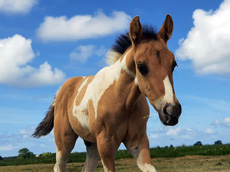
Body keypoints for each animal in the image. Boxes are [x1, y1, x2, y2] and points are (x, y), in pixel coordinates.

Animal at [33, 14, 181, 172]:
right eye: (141, 66)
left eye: (174, 64)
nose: (172, 111)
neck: (122, 100)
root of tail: (60, 93)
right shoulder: (106, 143)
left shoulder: (138, 141)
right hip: (64, 141)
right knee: (58, 166)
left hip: (92, 144)